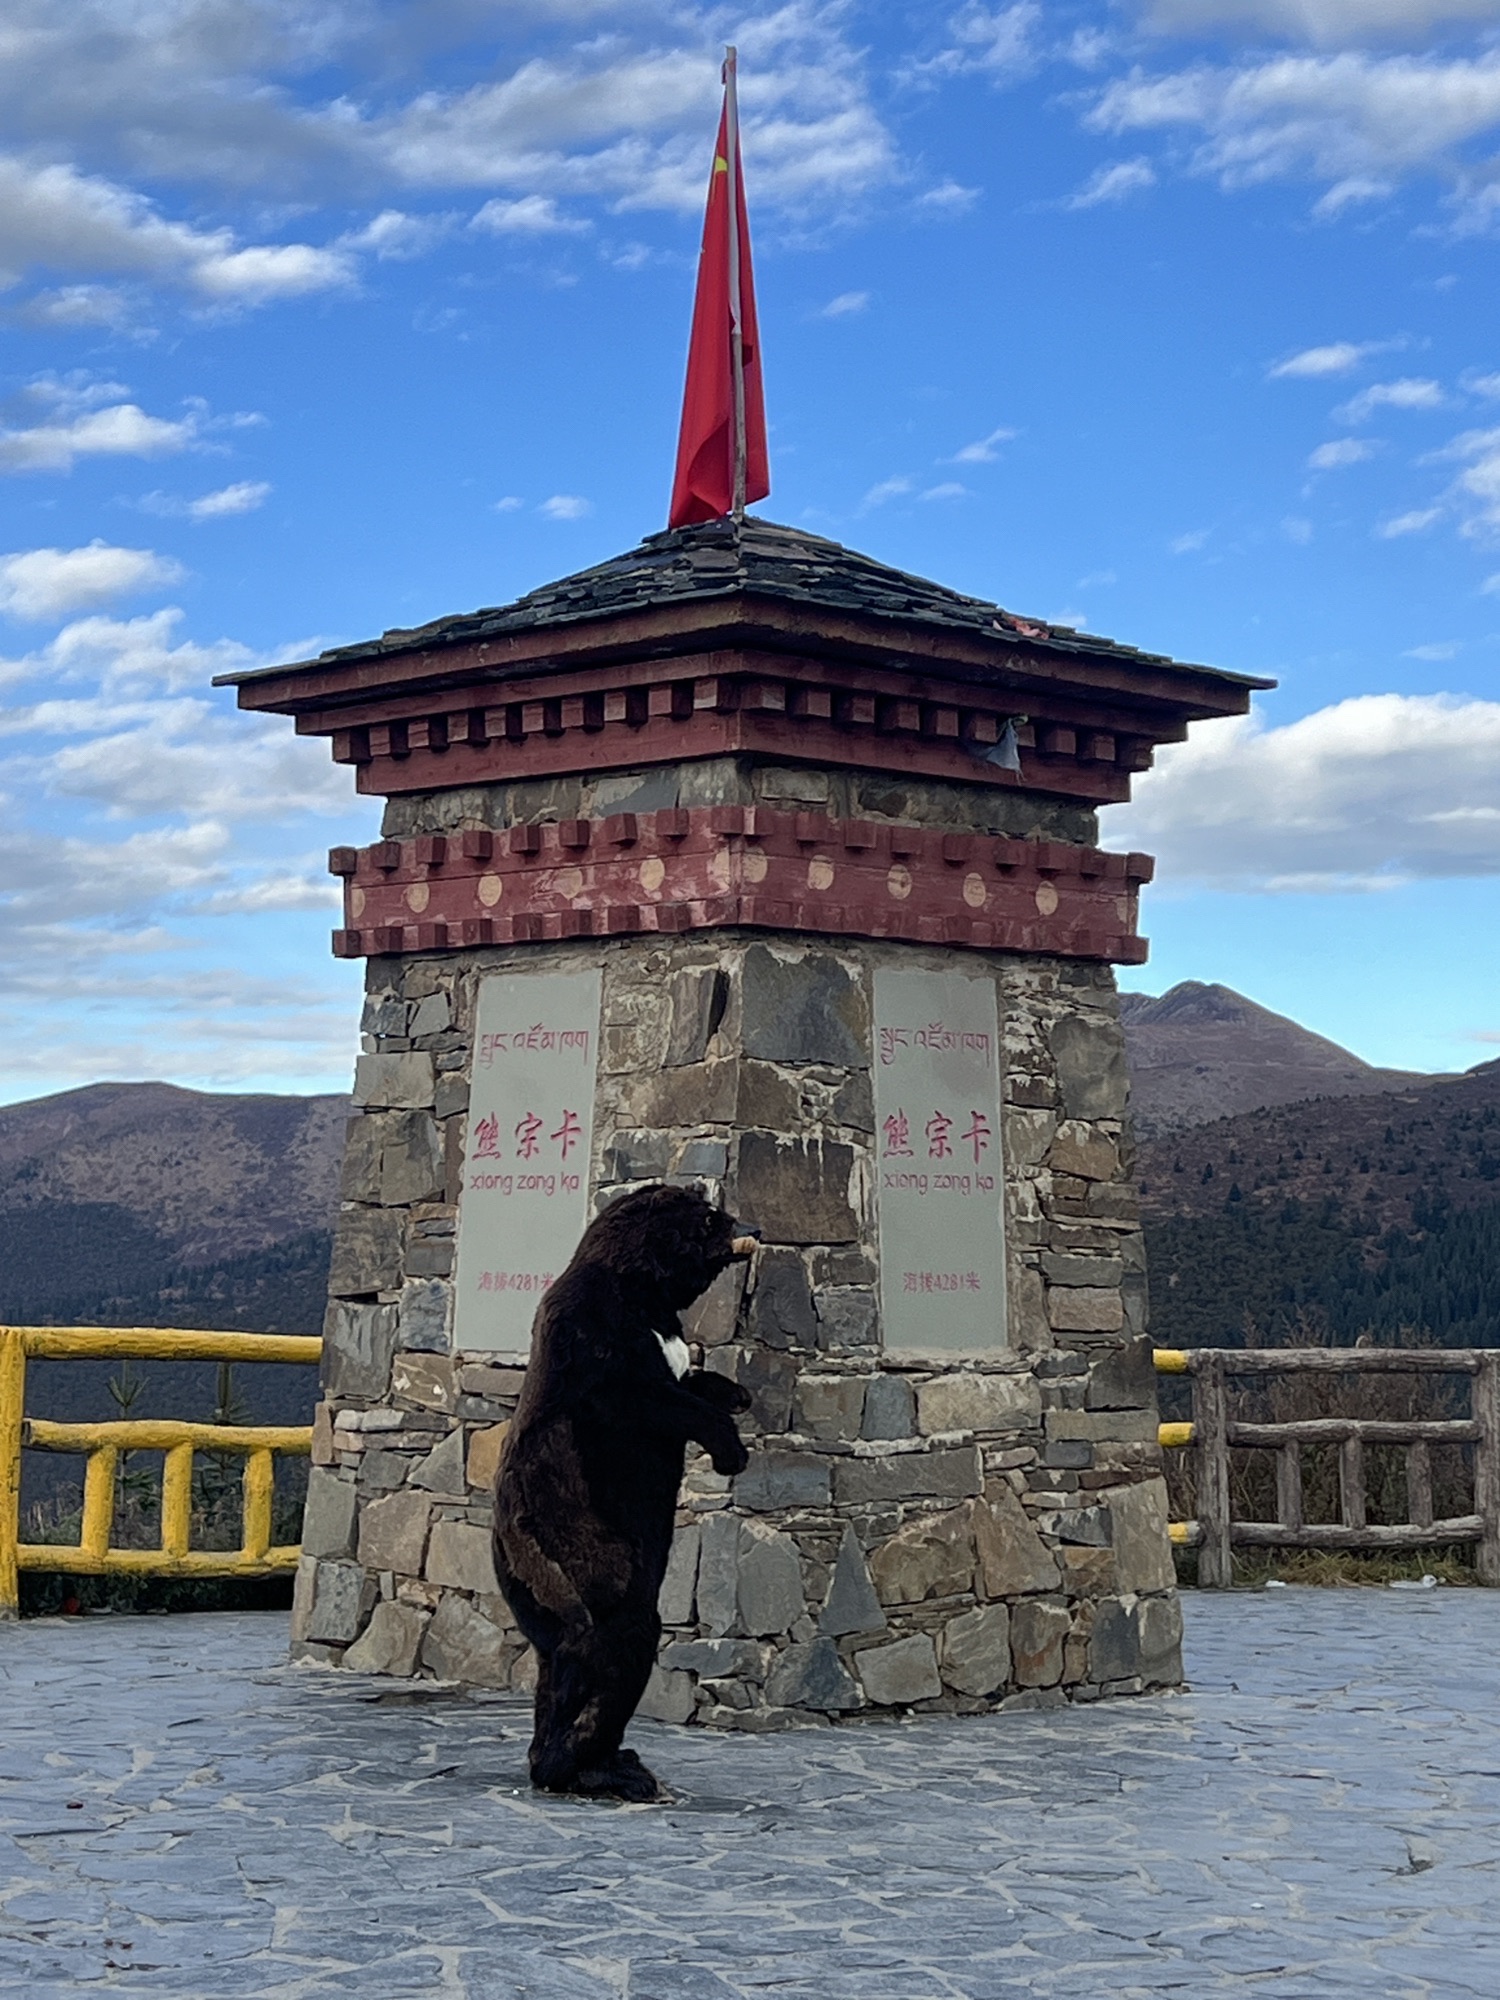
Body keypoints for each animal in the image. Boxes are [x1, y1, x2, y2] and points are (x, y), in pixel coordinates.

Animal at [492, 1183, 758, 1802]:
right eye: (710, 1219)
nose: (749, 1229)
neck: (641, 1293)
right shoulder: (602, 1348)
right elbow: (656, 1399)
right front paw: (729, 1448)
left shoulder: (667, 1346)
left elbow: (694, 1380)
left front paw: (736, 1392)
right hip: (586, 1562)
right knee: (605, 1652)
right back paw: (596, 1769)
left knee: (557, 1667)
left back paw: (608, 1760)